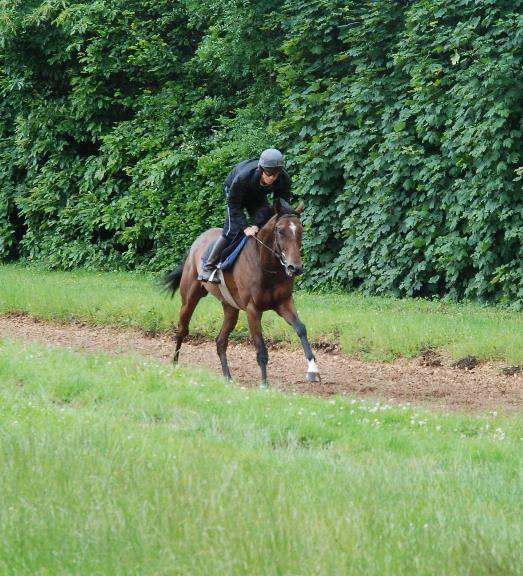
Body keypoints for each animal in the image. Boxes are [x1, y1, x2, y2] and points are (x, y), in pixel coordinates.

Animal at [164, 199, 322, 388]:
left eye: (300, 231)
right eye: (280, 231)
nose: (295, 267)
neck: (266, 266)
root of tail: (196, 243)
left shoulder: (284, 302)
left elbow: (301, 329)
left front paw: (313, 370)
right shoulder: (253, 310)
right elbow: (261, 348)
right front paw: (264, 384)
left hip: (230, 308)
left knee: (220, 341)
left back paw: (227, 377)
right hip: (190, 298)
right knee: (182, 330)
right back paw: (174, 365)